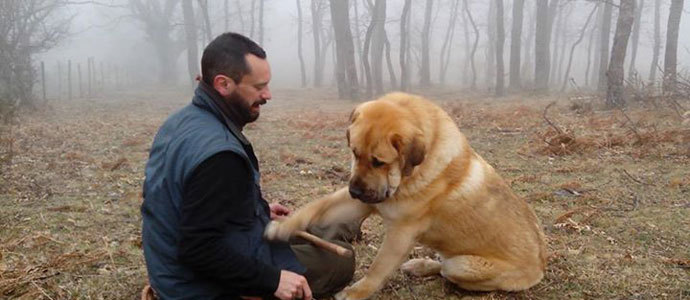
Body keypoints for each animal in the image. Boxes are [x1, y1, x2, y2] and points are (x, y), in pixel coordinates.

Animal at [266, 92, 544, 298]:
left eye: (379, 162)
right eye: (355, 152)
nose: (355, 191)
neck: (409, 176)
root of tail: (542, 263)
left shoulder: (401, 232)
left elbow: (377, 268)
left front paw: (355, 293)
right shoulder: (362, 204)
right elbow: (317, 207)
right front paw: (282, 227)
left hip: (464, 266)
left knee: (447, 269)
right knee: (442, 264)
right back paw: (419, 265)